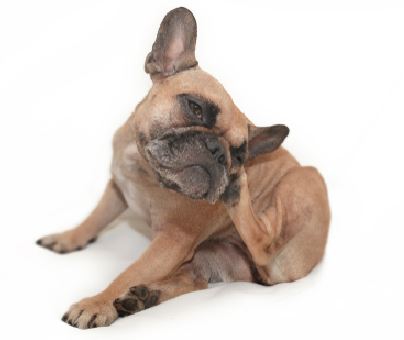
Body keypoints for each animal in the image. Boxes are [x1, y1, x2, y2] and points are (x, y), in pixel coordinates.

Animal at [36, 6, 330, 328]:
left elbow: (129, 271)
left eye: (240, 155)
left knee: (264, 244)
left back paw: (237, 193)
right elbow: (96, 217)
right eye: (195, 108)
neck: (146, 169)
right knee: (194, 279)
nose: (219, 152)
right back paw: (143, 297)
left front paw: (98, 303)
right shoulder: (117, 189)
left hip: (302, 182)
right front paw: (68, 238)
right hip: (206, 257)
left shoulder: (173, 240)